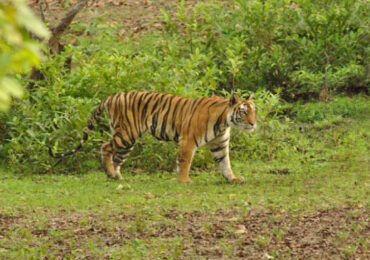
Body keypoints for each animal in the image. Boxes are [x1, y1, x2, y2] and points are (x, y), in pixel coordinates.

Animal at [48, 91, 258, 183]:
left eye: (253, 111)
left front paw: (232, 178)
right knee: (105, 147)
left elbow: (225, 163)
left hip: (127, 141)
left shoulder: (219, 145)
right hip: (127, 134)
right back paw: (110, 174)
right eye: (243, 112)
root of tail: (111, 96)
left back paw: (117, 176)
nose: (253, 124)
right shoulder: (188, 140)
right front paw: (184, 180)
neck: (224, 122)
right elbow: (184, 162)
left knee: (117, 157)